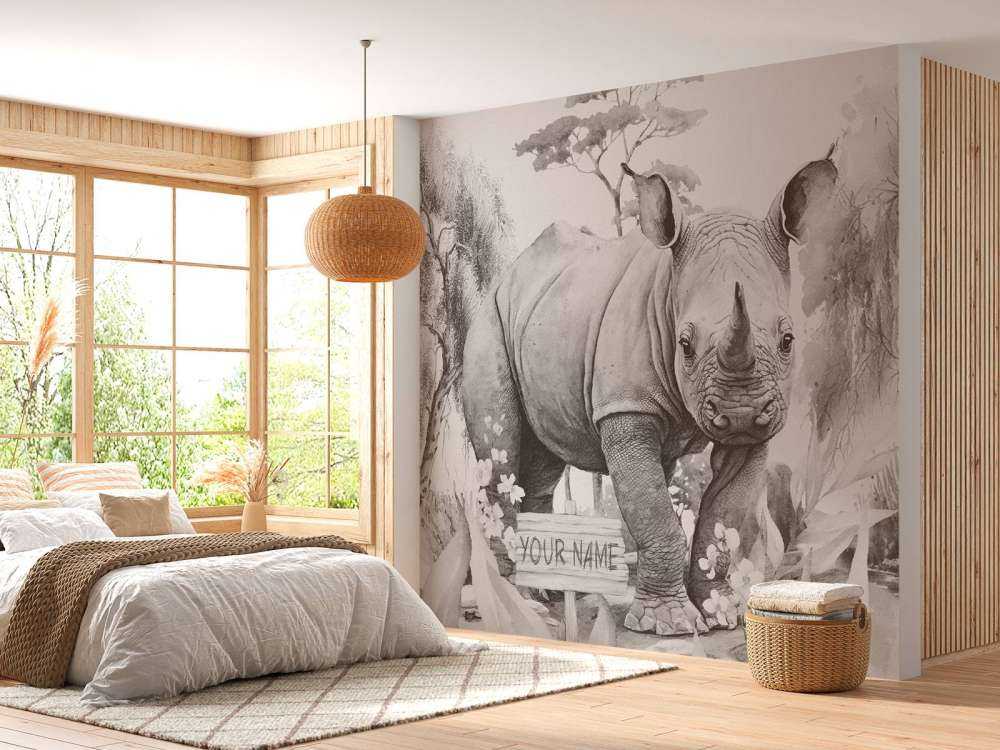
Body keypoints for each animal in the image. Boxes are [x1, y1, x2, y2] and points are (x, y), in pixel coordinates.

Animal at [462, 154, 837, 635]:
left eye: (788, 340)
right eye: (685, 344)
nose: (739, 414)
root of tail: (507, 274)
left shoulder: (762, 422)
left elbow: (723, 515)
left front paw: (722, 615)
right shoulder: (627, 407)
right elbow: (656, 513)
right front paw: (669, 624)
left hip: (543, 320)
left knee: (543, 455)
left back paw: (550, 590)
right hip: (488, 319)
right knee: (501, 449)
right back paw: (523, 607)